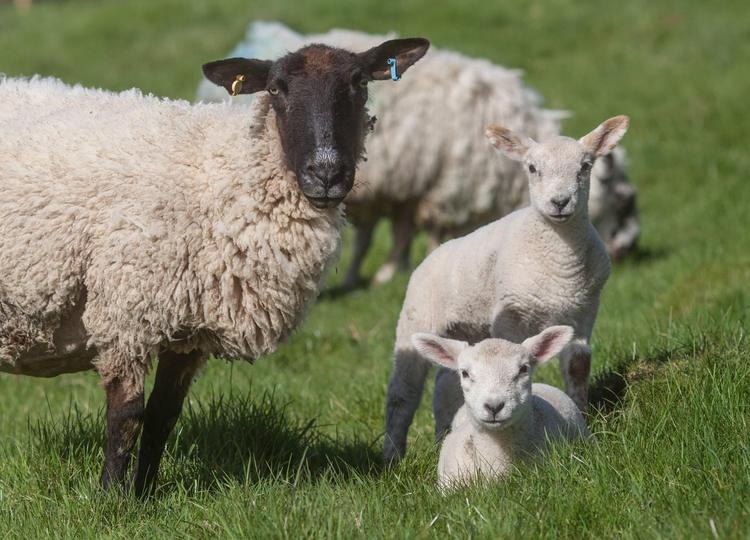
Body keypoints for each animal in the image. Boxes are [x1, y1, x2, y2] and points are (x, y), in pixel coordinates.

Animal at [0, 36, 430, 496]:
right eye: (276, 89)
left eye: (359, 83)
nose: (327, 174)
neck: (221, 179)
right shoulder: (125, 314)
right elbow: (127, 417)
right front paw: (111, 498)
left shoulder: (188, 331)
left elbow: (162, 417)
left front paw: (145, 495)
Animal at [195, 22, 640, 288]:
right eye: (619, 197)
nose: (627, 250)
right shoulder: (440, 187)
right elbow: (423, 231)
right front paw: (404, 267)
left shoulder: (404, 189)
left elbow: (393, 233)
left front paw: (386, 271)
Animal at [384, 115, 629, 462]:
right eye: (532, 168)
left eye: (585, 166)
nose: (559, 202)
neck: (560, 267)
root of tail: (434, 252)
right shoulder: (512, 315)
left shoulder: (583, 311)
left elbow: (578, 367)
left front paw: (582, 417)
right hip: (416, 316)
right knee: (403, 393)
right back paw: (392, 454)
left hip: (467, 328)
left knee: (445, 383)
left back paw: (443, 436)